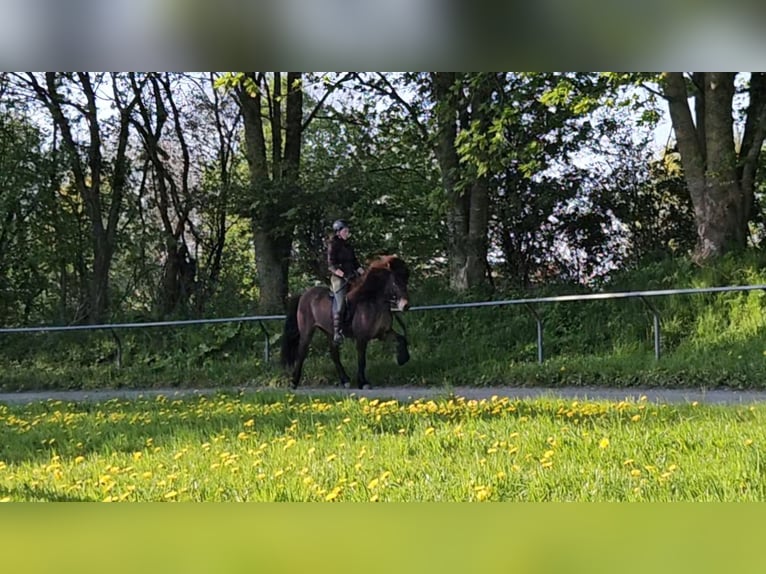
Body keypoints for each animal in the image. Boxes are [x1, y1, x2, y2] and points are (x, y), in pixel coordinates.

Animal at [282, 256, 414, 392]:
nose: (405, 305)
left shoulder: (384, 333)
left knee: (334, 354)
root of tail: (304, 294)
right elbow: (361, 360)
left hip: (329, 332)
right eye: (395, 282)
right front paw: (363, 382)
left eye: (406, 279)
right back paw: (294, 382)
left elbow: (401, 339)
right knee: (301, 353)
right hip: (307, 332)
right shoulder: (362, 338)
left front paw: (403, 359)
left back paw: (345, 380)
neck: (373, 300)